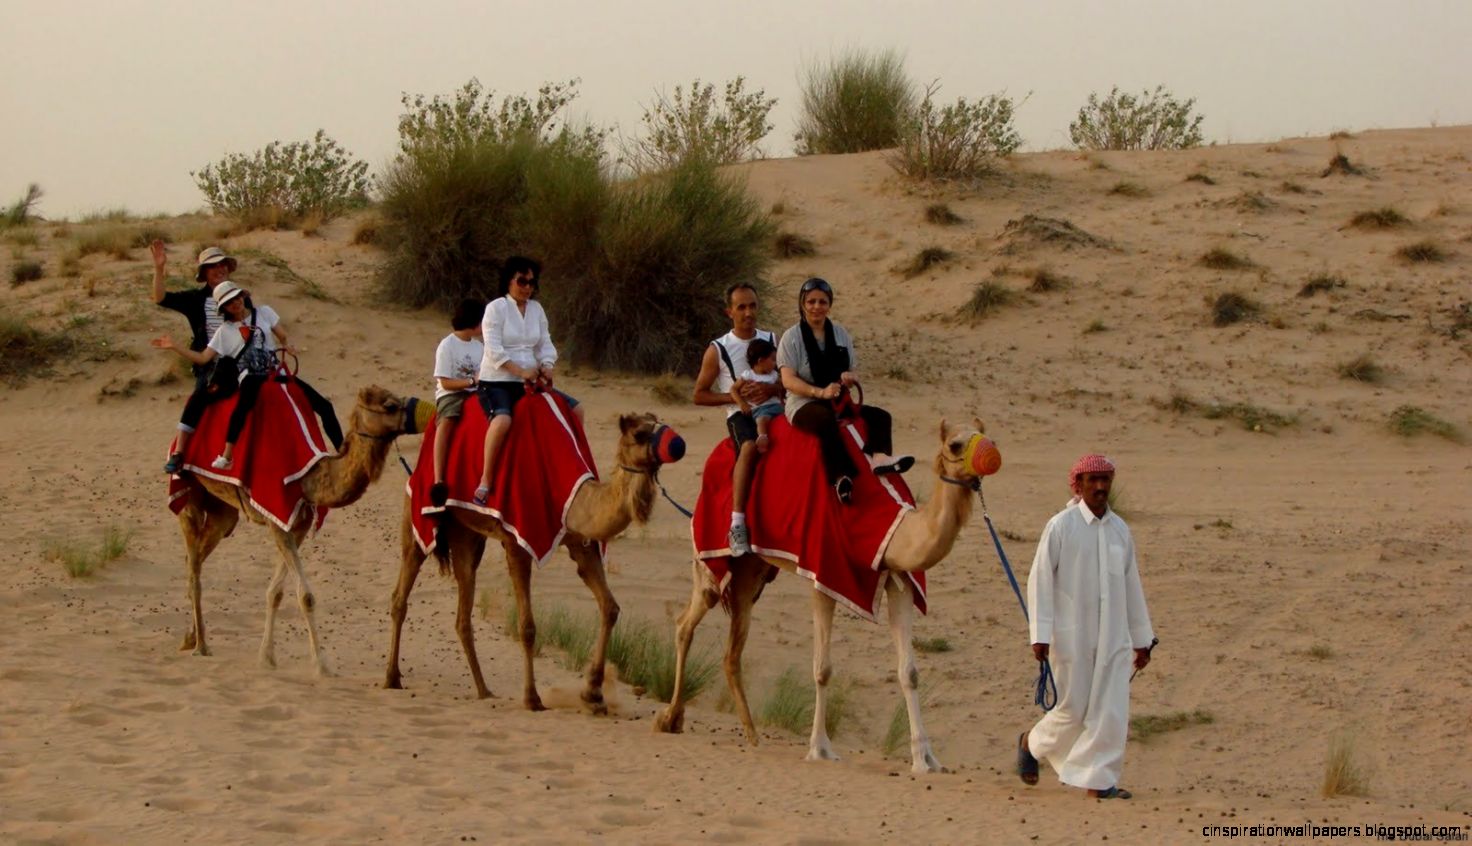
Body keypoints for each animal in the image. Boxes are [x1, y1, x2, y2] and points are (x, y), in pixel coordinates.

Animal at [172, 386, 424, 676]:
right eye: (390, 405)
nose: (422, 411)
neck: (309, 477)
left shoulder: (299, 524)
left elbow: (276, 592)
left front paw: (267, 657)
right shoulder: (276, 520)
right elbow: (306, 596)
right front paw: (322, 665)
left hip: (223, 512)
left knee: (195, 557)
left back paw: (190, 637)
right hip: (188, 492)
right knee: (194, 565)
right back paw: (201, 645)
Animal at [383, 412, 674, 714]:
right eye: (640, 434)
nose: (677, 444)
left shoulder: (580, 542)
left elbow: (610, 607)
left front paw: (593, 693)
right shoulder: (517, 542)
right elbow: (527, 626)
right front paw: (532, 698)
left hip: (466, 534)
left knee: (463, 610)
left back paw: (484, 690)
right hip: (417, 512)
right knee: (402, 591)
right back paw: (392, 677)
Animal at [656, 419, 994, 774]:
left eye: (986, 436)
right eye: (956, 444)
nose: (989, 457)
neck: (886, 525)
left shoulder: (899, 577)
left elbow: (909, 673)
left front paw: (925, 759)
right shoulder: (824, 574)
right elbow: (823, 668)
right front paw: (820, 748)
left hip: (752, 569)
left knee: (732, 647)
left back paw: (751, 733)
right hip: (711, 554)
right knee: (686, 622)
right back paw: (670, 718)